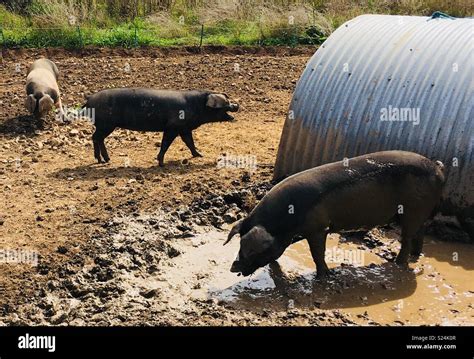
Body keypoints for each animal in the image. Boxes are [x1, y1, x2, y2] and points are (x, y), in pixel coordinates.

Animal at [83, 88, 239, 166]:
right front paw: (161, 163)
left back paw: (105, 160)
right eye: (226, 102)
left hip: (104, 126)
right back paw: (102, 160)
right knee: (96, 137)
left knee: (97, 138)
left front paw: (200, 155)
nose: (236, 105)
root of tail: (89, 98)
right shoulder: (172, 127)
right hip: (105, 125)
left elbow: (189, 142)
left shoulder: (184, 129)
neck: (197, 106)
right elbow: (165, 144)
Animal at [225, 150, 444, 280]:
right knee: (419, 235)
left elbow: (317, 253)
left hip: (412, 212)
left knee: (407, 239)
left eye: (251, 250)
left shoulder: (318, 228)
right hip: (420, 215)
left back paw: (398, 264)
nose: (233, 267)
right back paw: (415, 256)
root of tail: (436, 168)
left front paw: (324, 277)